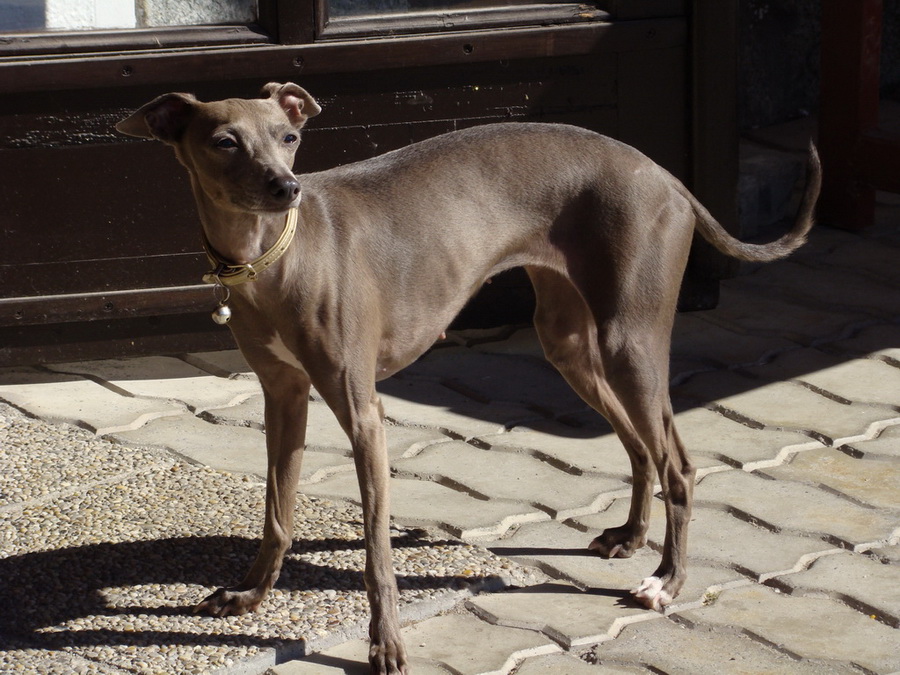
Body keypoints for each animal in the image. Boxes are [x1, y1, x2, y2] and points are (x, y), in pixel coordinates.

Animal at [116, 82, 820, 672]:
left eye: (288, 138)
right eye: (224, 142)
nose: (285, 187)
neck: (272, 254)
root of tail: (665, 174)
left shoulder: (364, 412)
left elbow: (376, 553)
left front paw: (387, 646)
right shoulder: (283, 397)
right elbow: (277, 514)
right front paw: (250, 596)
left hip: (630, 341)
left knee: (678, 462)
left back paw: (667, 581)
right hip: (569, 344)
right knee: (639, 444)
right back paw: (630, 537)